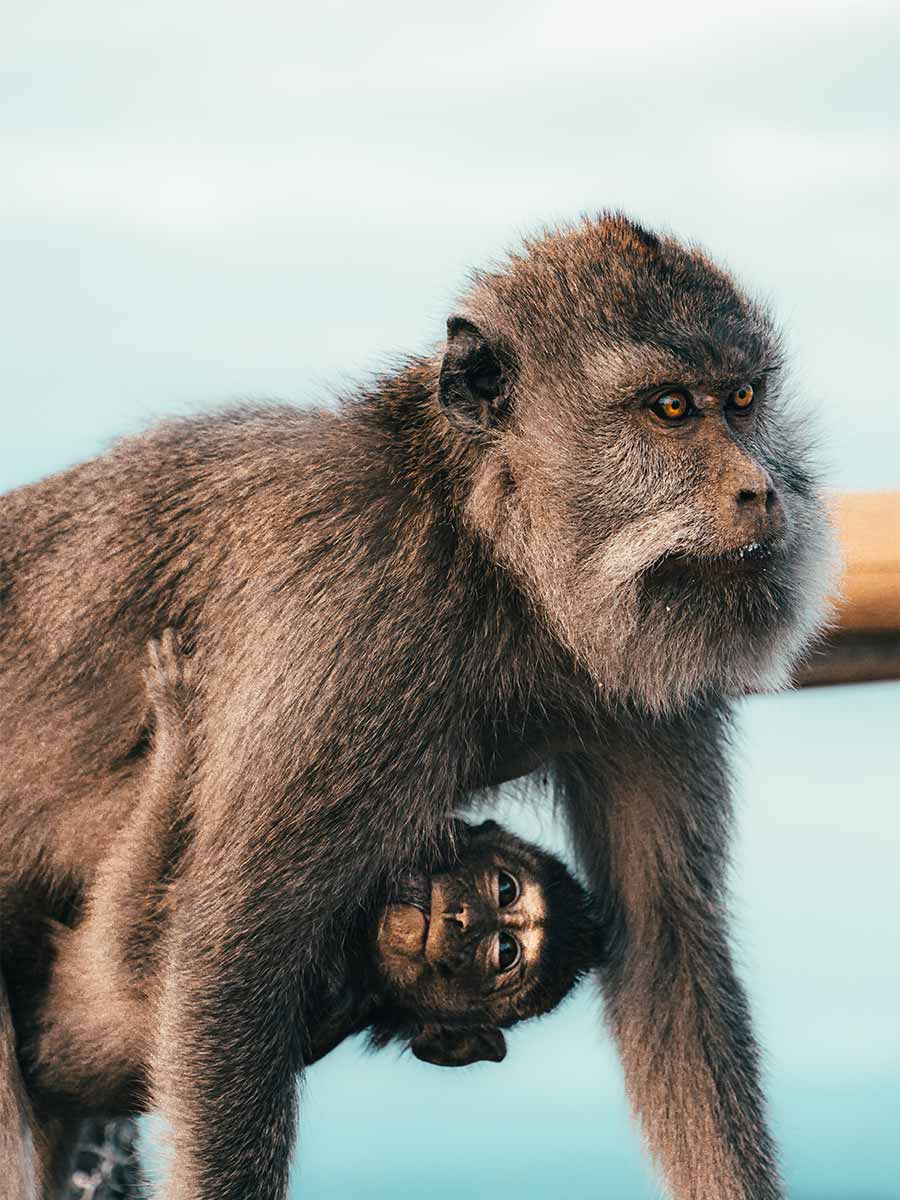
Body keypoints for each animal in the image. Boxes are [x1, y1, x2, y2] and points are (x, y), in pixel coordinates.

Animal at [19, 633, 600, 1137]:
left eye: (504, 952)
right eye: (504, 889)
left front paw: (181, 729)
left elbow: (131, 960)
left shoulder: (317, 982)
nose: (461, 917)